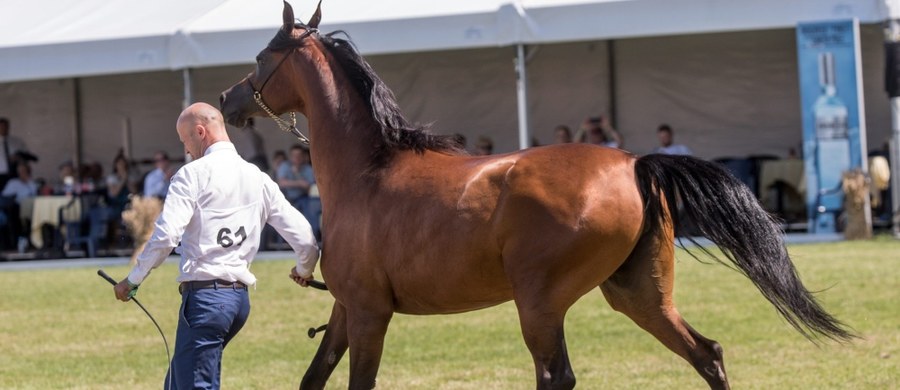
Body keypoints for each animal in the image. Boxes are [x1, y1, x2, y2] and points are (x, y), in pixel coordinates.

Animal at [221, 2, 856, 386]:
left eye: (262, 56)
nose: (229, 100)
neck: (367, 173)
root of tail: (633, 164)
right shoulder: (346, 308)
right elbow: (314, 375)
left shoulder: (371, 313)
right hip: (638, 296)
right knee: (707, 353)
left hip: (541, 303)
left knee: (558, 376)